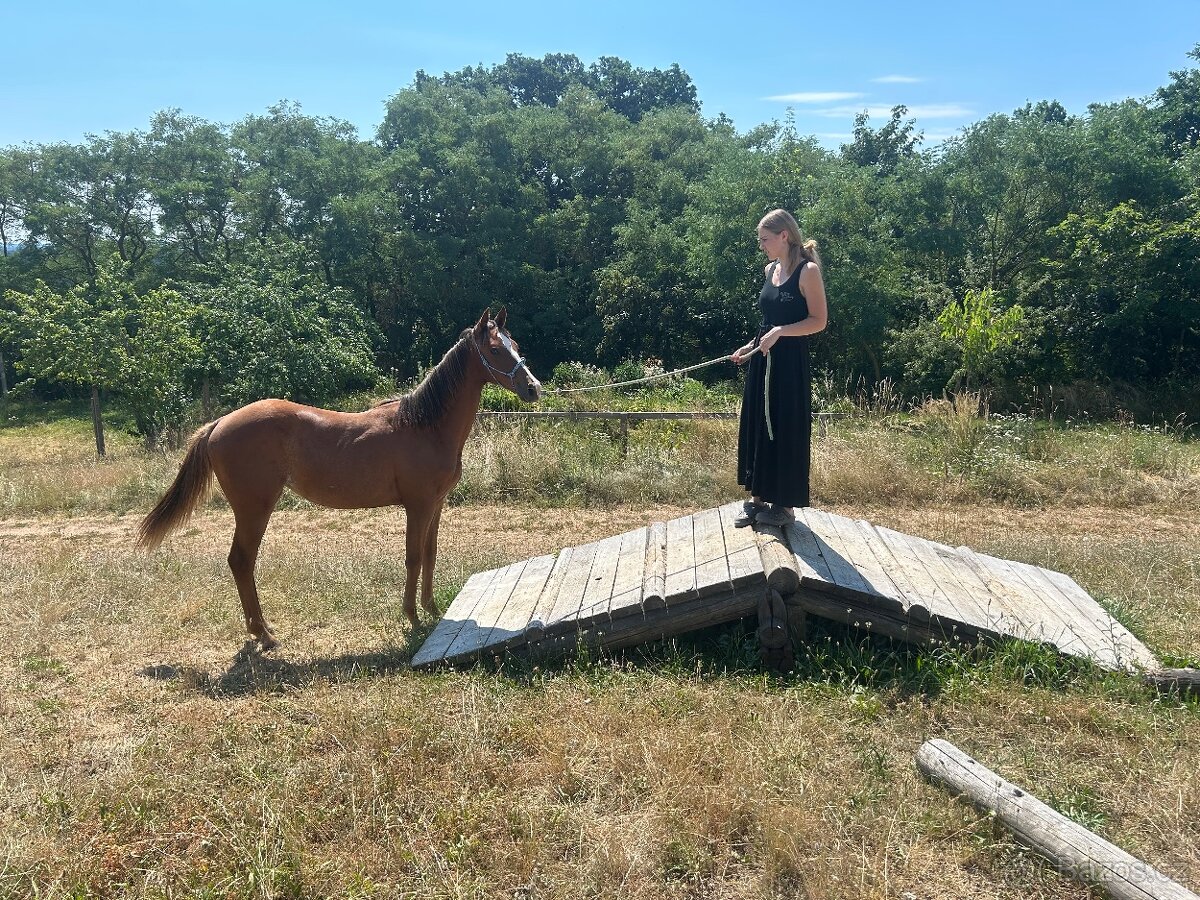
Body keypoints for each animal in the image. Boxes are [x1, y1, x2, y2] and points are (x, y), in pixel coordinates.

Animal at [136, 307, 541, 650]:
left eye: (517, 346)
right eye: (495, 349)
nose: (534, 388)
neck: (425, 426)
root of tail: (219, 423)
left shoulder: (436, 505)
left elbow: (430, 553)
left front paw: (430, 609)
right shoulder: (418, 506)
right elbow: (412, 557)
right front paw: (412, 617)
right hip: (254, 510)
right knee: (241, 561)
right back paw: (264, 634)